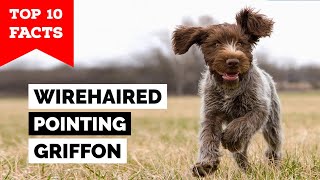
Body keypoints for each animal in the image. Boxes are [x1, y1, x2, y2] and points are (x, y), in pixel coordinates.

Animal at [172, 7, 282, 176]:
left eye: (241, 42)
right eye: (216, 44)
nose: (233, 61)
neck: (230, 89)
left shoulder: (259, 109)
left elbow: (244, 122)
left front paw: (230, 139)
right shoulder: (211, 114)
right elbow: (208, 138)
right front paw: (205, 165)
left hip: (272, 122)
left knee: (273, 143)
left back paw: (273, 162)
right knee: (241, 154)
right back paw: (246, 168)